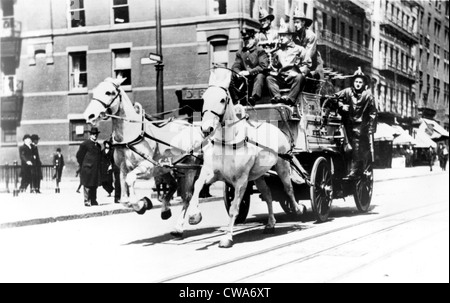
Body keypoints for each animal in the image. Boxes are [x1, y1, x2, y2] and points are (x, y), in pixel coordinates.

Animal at [83, 77, 203, 232]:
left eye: (109, 92)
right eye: (95, 91)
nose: (90, 115)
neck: (131, 134)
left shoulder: (147, 167)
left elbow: (130, 181)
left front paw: (141, 204)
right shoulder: (123, 169)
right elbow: (124, 197)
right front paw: (143, 203)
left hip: (190, 168)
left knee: (189, 194)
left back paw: (183, 223)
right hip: (165, 169)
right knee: (174, 186)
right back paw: (166, 210)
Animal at [185, 67, 306, 248]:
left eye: (222, 99)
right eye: (204, 98)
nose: (206, 129)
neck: (228, 142)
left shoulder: (241, 180)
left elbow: (234, 208)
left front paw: (227, 237)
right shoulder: (213, 173)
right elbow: (197, 186)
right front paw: (194, 216)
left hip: (282, 166)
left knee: (288, 188)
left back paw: (298, 209)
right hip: (259, 175)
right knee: (268, 194)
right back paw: (270, 224)